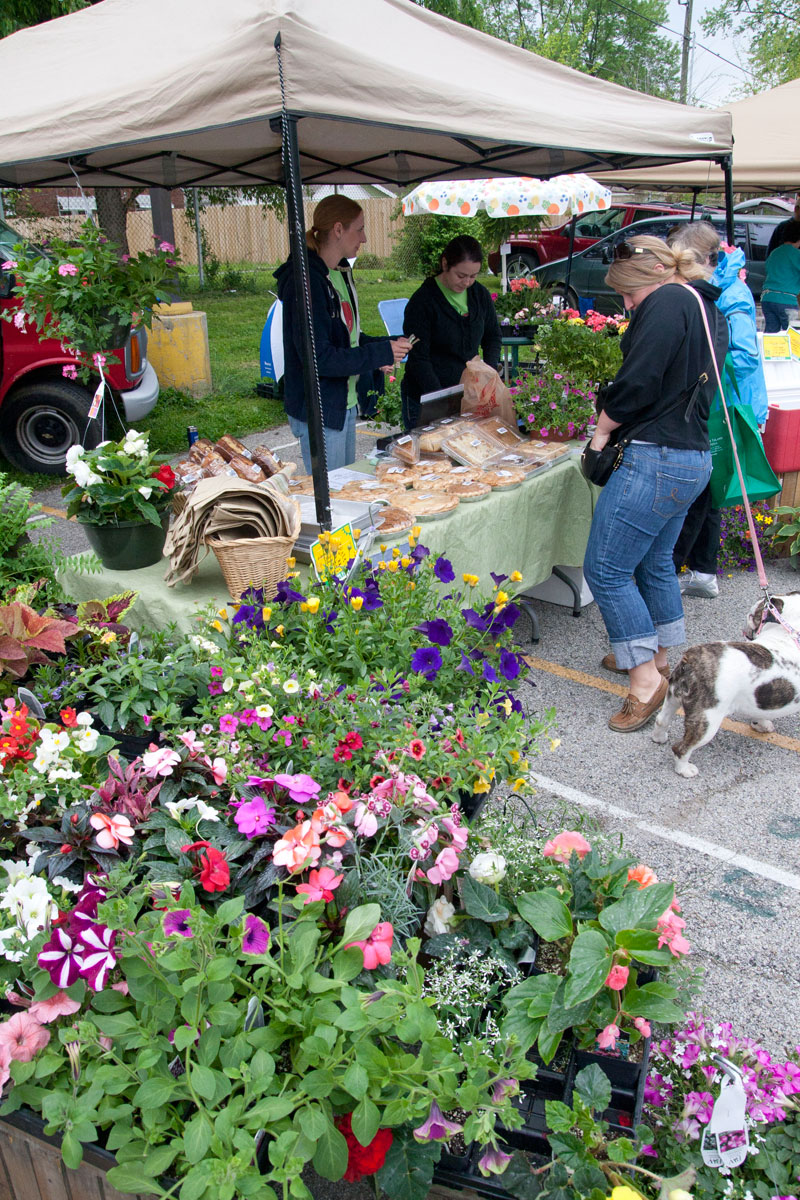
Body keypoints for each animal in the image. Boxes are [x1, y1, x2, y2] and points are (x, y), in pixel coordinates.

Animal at [652, 590, 800, 777]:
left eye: (752, 615)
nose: (745, 628)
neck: (788, 630)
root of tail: (691, 658)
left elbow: (760, 711)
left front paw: (761, 724)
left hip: (673, 696)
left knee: (661, 719)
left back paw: (659, 737)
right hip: (708, 719)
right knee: (682, 747)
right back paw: (684, 769)